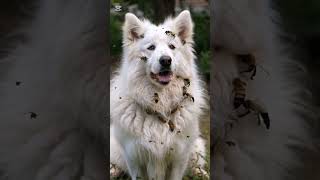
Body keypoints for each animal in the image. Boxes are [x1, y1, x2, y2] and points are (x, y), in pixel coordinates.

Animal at [110, 10, 208, 179]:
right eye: (151, 47)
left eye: (172, 47)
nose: (166, 60)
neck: (160, 104)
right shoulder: (135, 159)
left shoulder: (178, 158)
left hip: (196, 146)